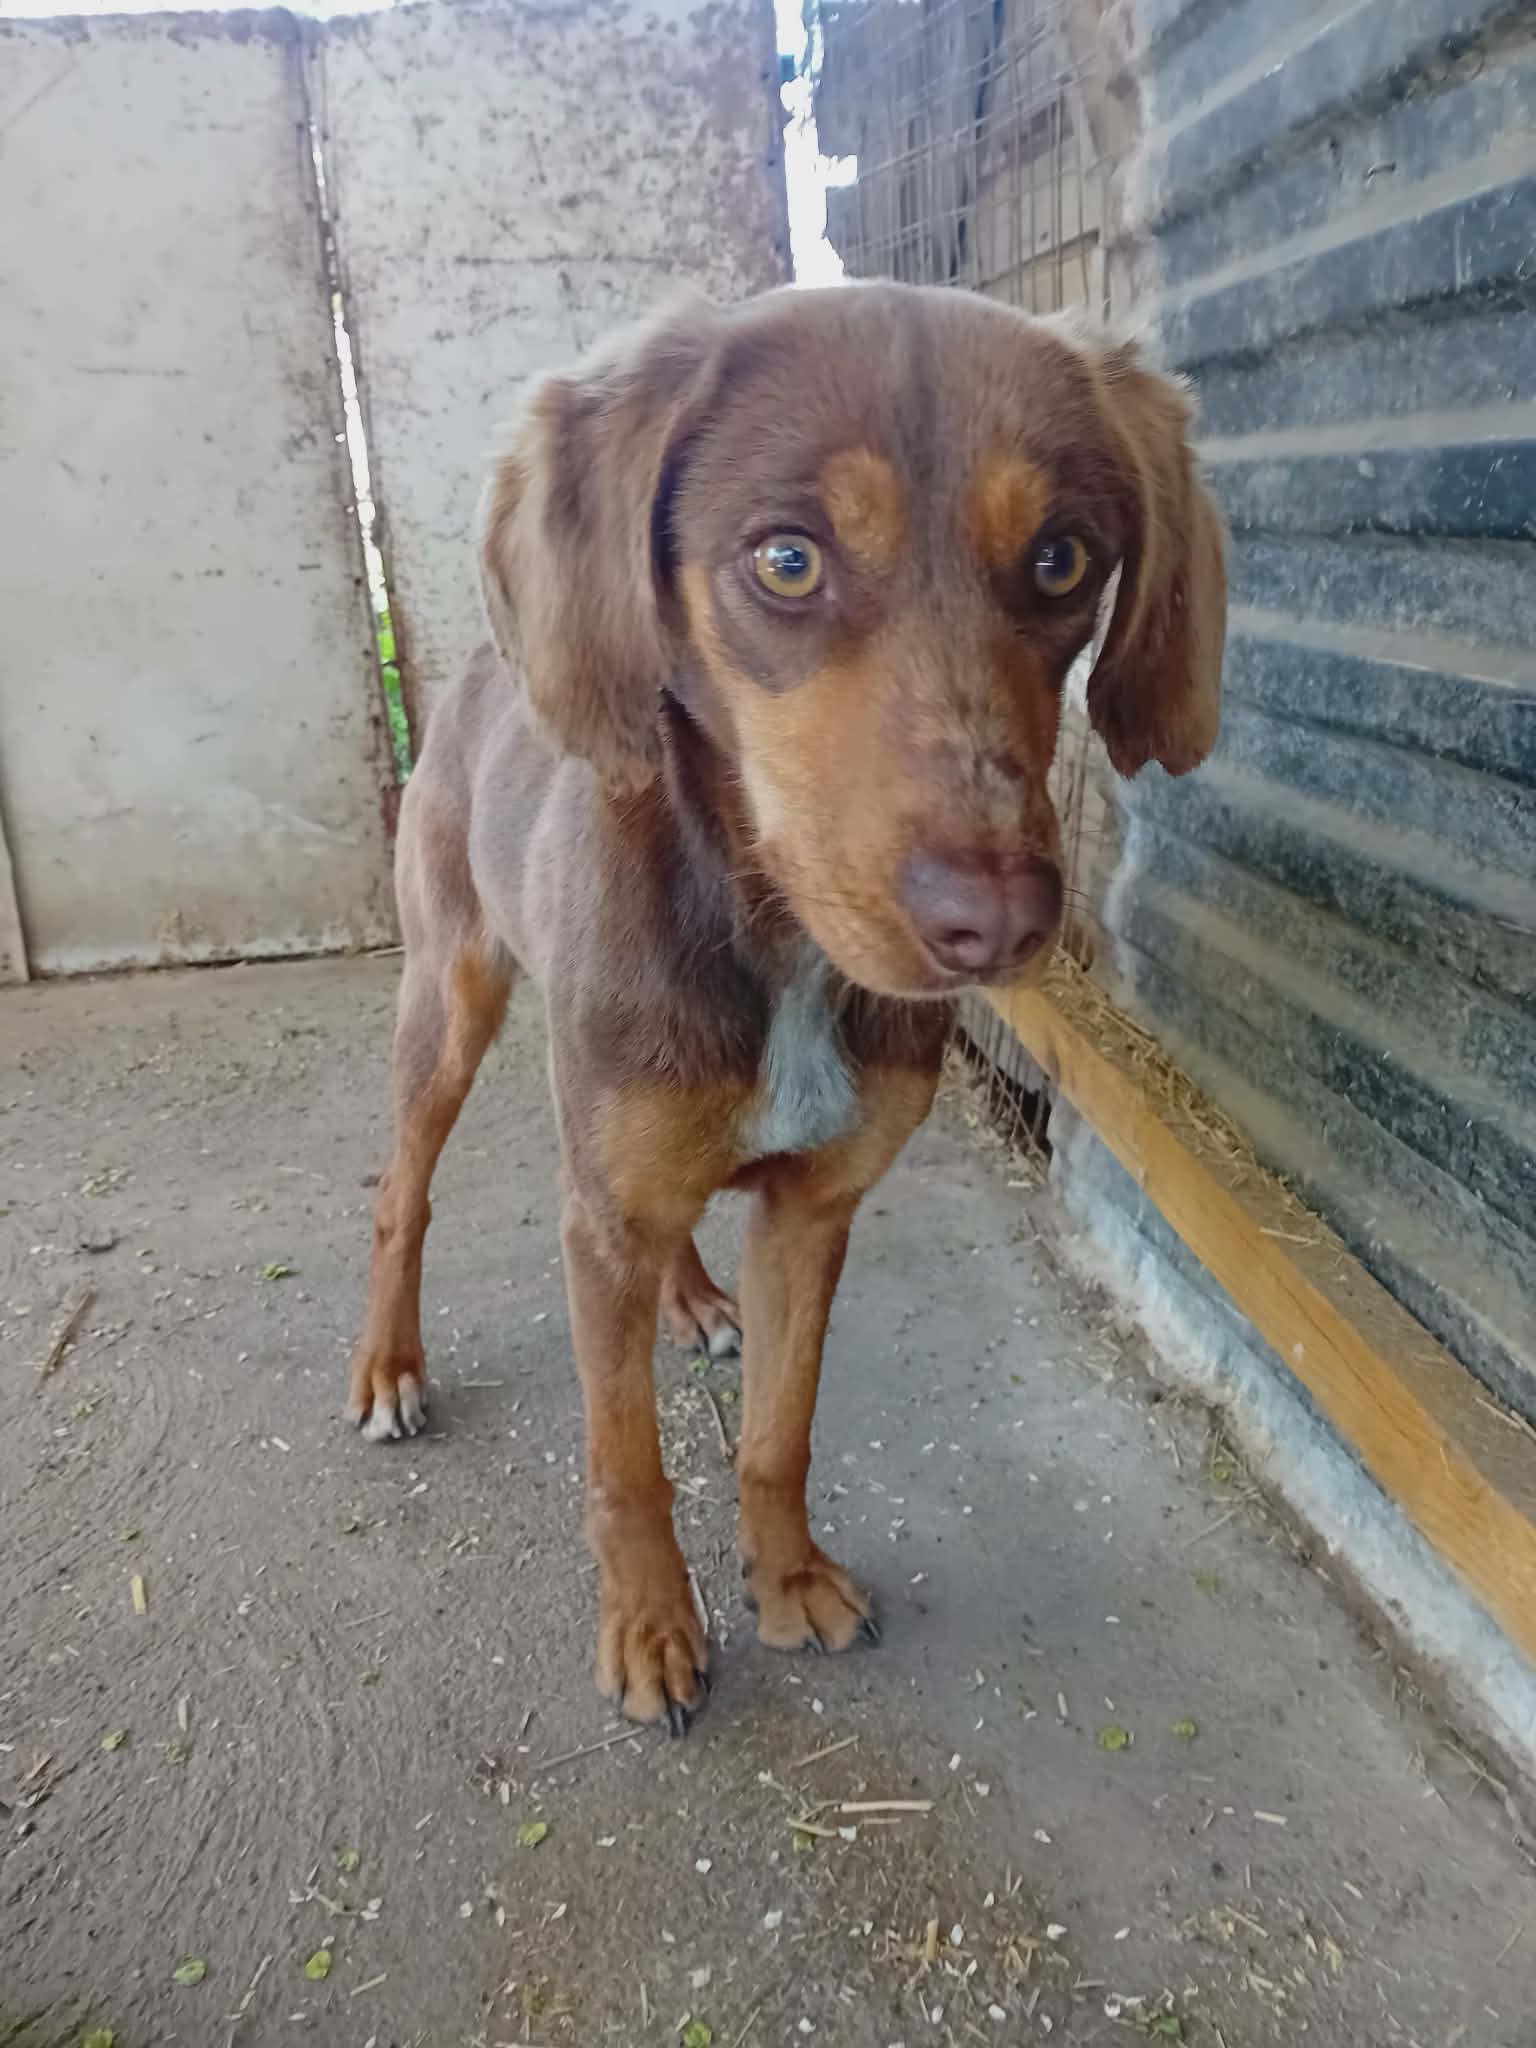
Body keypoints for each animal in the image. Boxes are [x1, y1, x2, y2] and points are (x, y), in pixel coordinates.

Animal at [346, 282, 1227, 1733]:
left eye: (1062, 560)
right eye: (787, 561)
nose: (999, 925)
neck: (777, 949)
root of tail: (476, 660)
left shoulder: (813, 1209)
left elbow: (778, 1429)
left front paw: (787, 1578)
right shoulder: (603, 1213)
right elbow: (625, 1459)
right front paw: (652, 1630)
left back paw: (694, 1297)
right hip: (447, 999)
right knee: (402, 1192)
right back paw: (388, 1365)